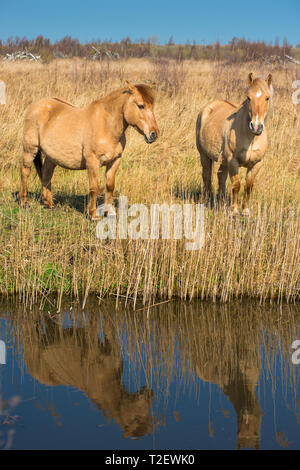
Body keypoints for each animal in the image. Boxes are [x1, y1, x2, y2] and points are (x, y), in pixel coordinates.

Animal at [18, 81, 159, 218]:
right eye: (141, 106)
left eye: (152, 106)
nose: (154, 134)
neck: (107, 126)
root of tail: (34, 106)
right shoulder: (92, 162)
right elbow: (94, 187)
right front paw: (93, 214)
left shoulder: (115, 161)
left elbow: (109, 186)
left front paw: (110, 212)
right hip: (30, 149)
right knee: (25, 171)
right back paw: (24, 202)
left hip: (51, 156)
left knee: (47, 174)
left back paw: (50, 204)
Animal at [196, 72, 274, 216]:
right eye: (248, 97)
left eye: (267, 98)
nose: (256, 127)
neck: (251, 137)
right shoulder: (233, 161)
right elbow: (236, 185)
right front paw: (234, 211)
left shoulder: (257, 164)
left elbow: (248, 186)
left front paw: (245, 211)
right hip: (204, 156)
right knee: (207, 175)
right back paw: (208, 200)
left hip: (223, 160)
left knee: (220, 176)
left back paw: (221, 201)